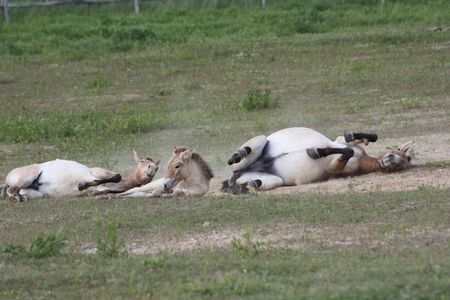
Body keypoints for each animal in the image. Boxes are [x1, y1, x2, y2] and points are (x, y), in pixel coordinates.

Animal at [1, 150, 159, 202]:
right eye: (142, 161)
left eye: (156, 167)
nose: (152, 170)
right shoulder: (95, 173)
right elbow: (116, 176)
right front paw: (82, 185)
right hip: (28, 176)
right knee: (11, 189)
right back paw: (16, 197)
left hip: (37, 194)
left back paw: (21, 197)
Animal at [221, 126, 414, 195]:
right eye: (399, 151)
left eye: (404, 162)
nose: (390, 160)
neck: (362, 159)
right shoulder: (341, 142)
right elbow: (358, 139)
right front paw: (315, 151)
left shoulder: (335, 169)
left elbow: (347, 151)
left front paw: (314, 152)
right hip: (260, 141)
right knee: (240, 156)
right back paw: (237, 157)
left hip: (274, 180)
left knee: (253, 182)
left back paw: (244, 185)